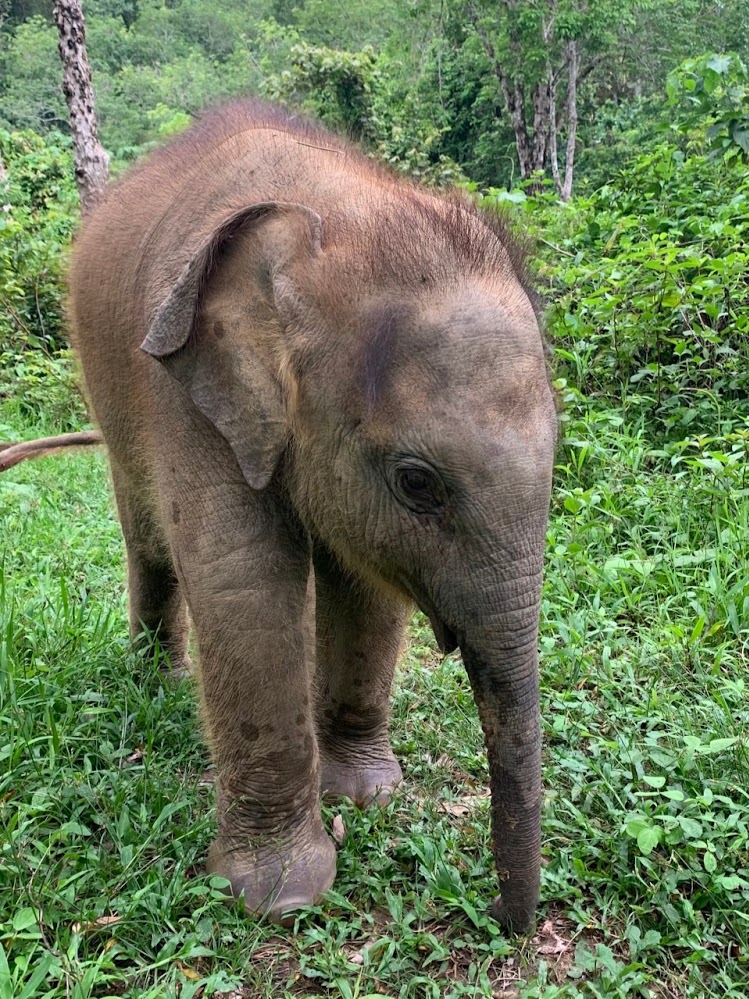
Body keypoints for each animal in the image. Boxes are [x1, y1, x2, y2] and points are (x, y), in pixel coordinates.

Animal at [38, 100, 557, 931]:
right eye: (418, 483)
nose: (508, 926)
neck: (336, 215)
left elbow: (368, 586)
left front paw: (368, 795)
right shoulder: (186, 390)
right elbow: (243, 585)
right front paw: (281, 897)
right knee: (146, 535)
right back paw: (158, 681)